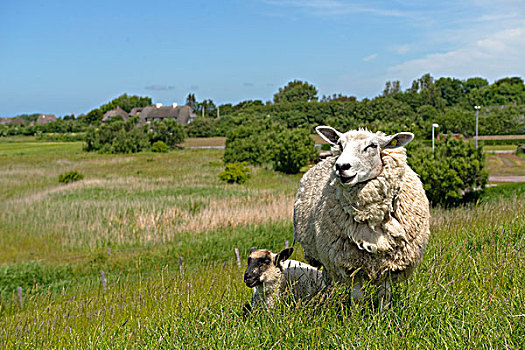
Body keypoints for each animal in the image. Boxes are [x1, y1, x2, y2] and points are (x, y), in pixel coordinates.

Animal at [292, 126, 428, 304]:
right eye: (340, 144)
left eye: (373, 146)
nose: (341, 166)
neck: (372, 216)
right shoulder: (351, 262)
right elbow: (357, 297)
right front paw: (356, 312)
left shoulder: (391, 263)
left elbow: (384, 295)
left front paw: (383, 311)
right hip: (323, 255)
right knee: (327, 278)